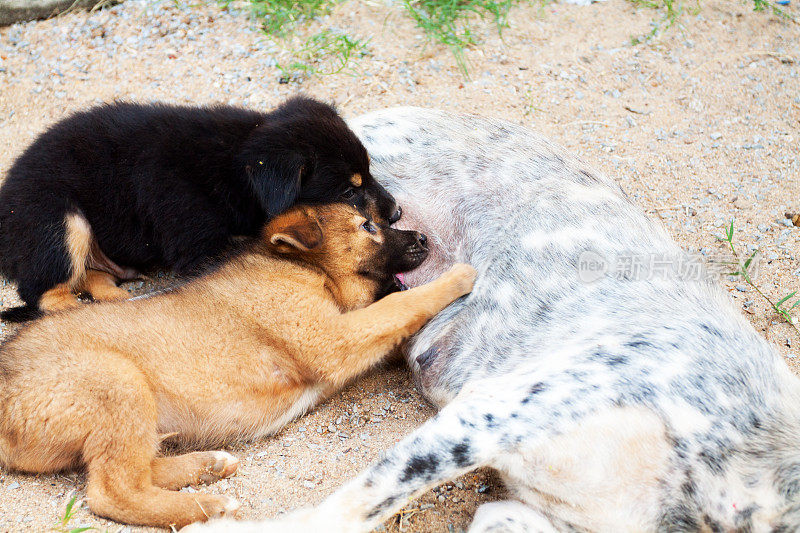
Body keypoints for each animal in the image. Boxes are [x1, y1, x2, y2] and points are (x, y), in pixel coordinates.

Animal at [0, 95, 400, 320]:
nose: (397, 213)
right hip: (61, 221)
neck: (234, 170)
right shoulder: (199, 245)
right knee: (44, 293)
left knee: (93, 277)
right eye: (348, 191)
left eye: (369, 172)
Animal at [0, 203, 476, 528]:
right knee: (111, 491)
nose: (425, 241)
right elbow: (401, 304)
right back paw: (207, 505)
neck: (305, 271)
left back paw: (209, 466)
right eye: (368, 227)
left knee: (134, 469)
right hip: (118, 380)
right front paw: (458, 277)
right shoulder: (331, 339)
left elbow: (397, 319)